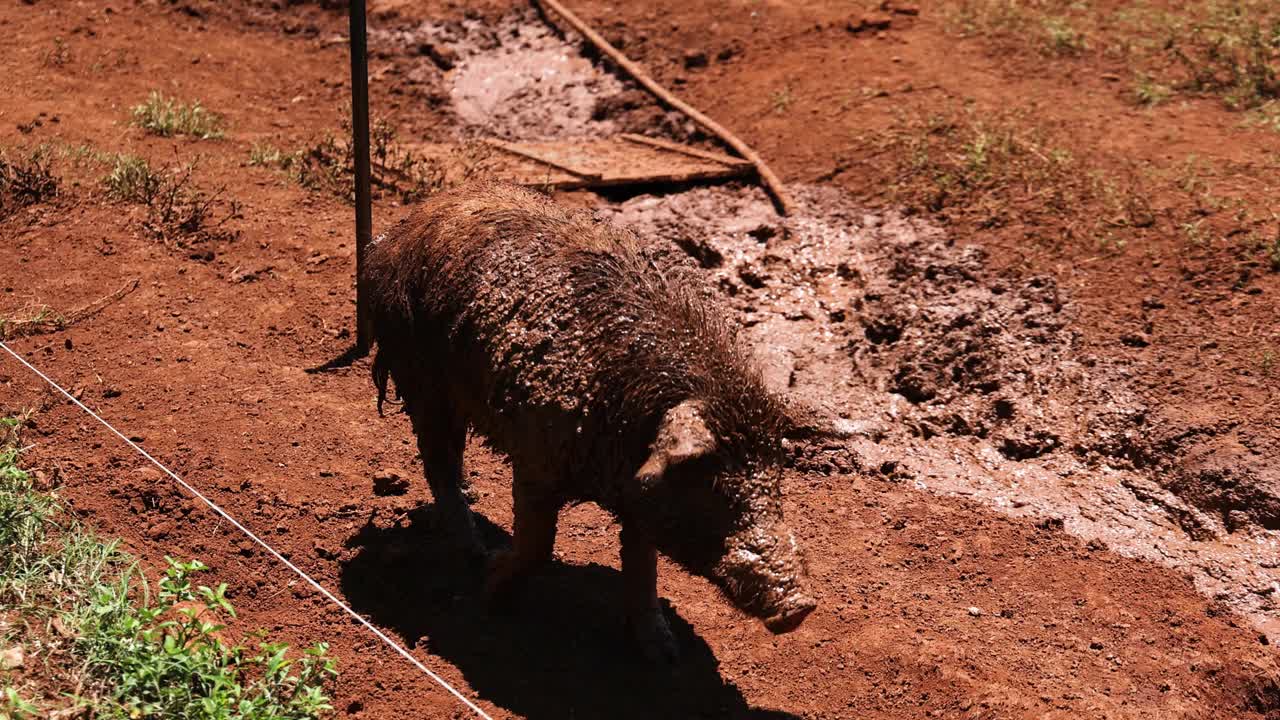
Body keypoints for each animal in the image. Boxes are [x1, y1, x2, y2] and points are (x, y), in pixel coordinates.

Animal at [366, 180, 844, 661]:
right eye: (712, 481)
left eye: (776, 475)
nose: (800, 605)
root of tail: (398, 230)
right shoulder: (537, 462)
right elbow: (538, 545)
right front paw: (492, 592)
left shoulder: (641, 493)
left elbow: (642, 565)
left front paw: (664, 652)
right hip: (417, 371)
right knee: (437, 463)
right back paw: (474, 551)